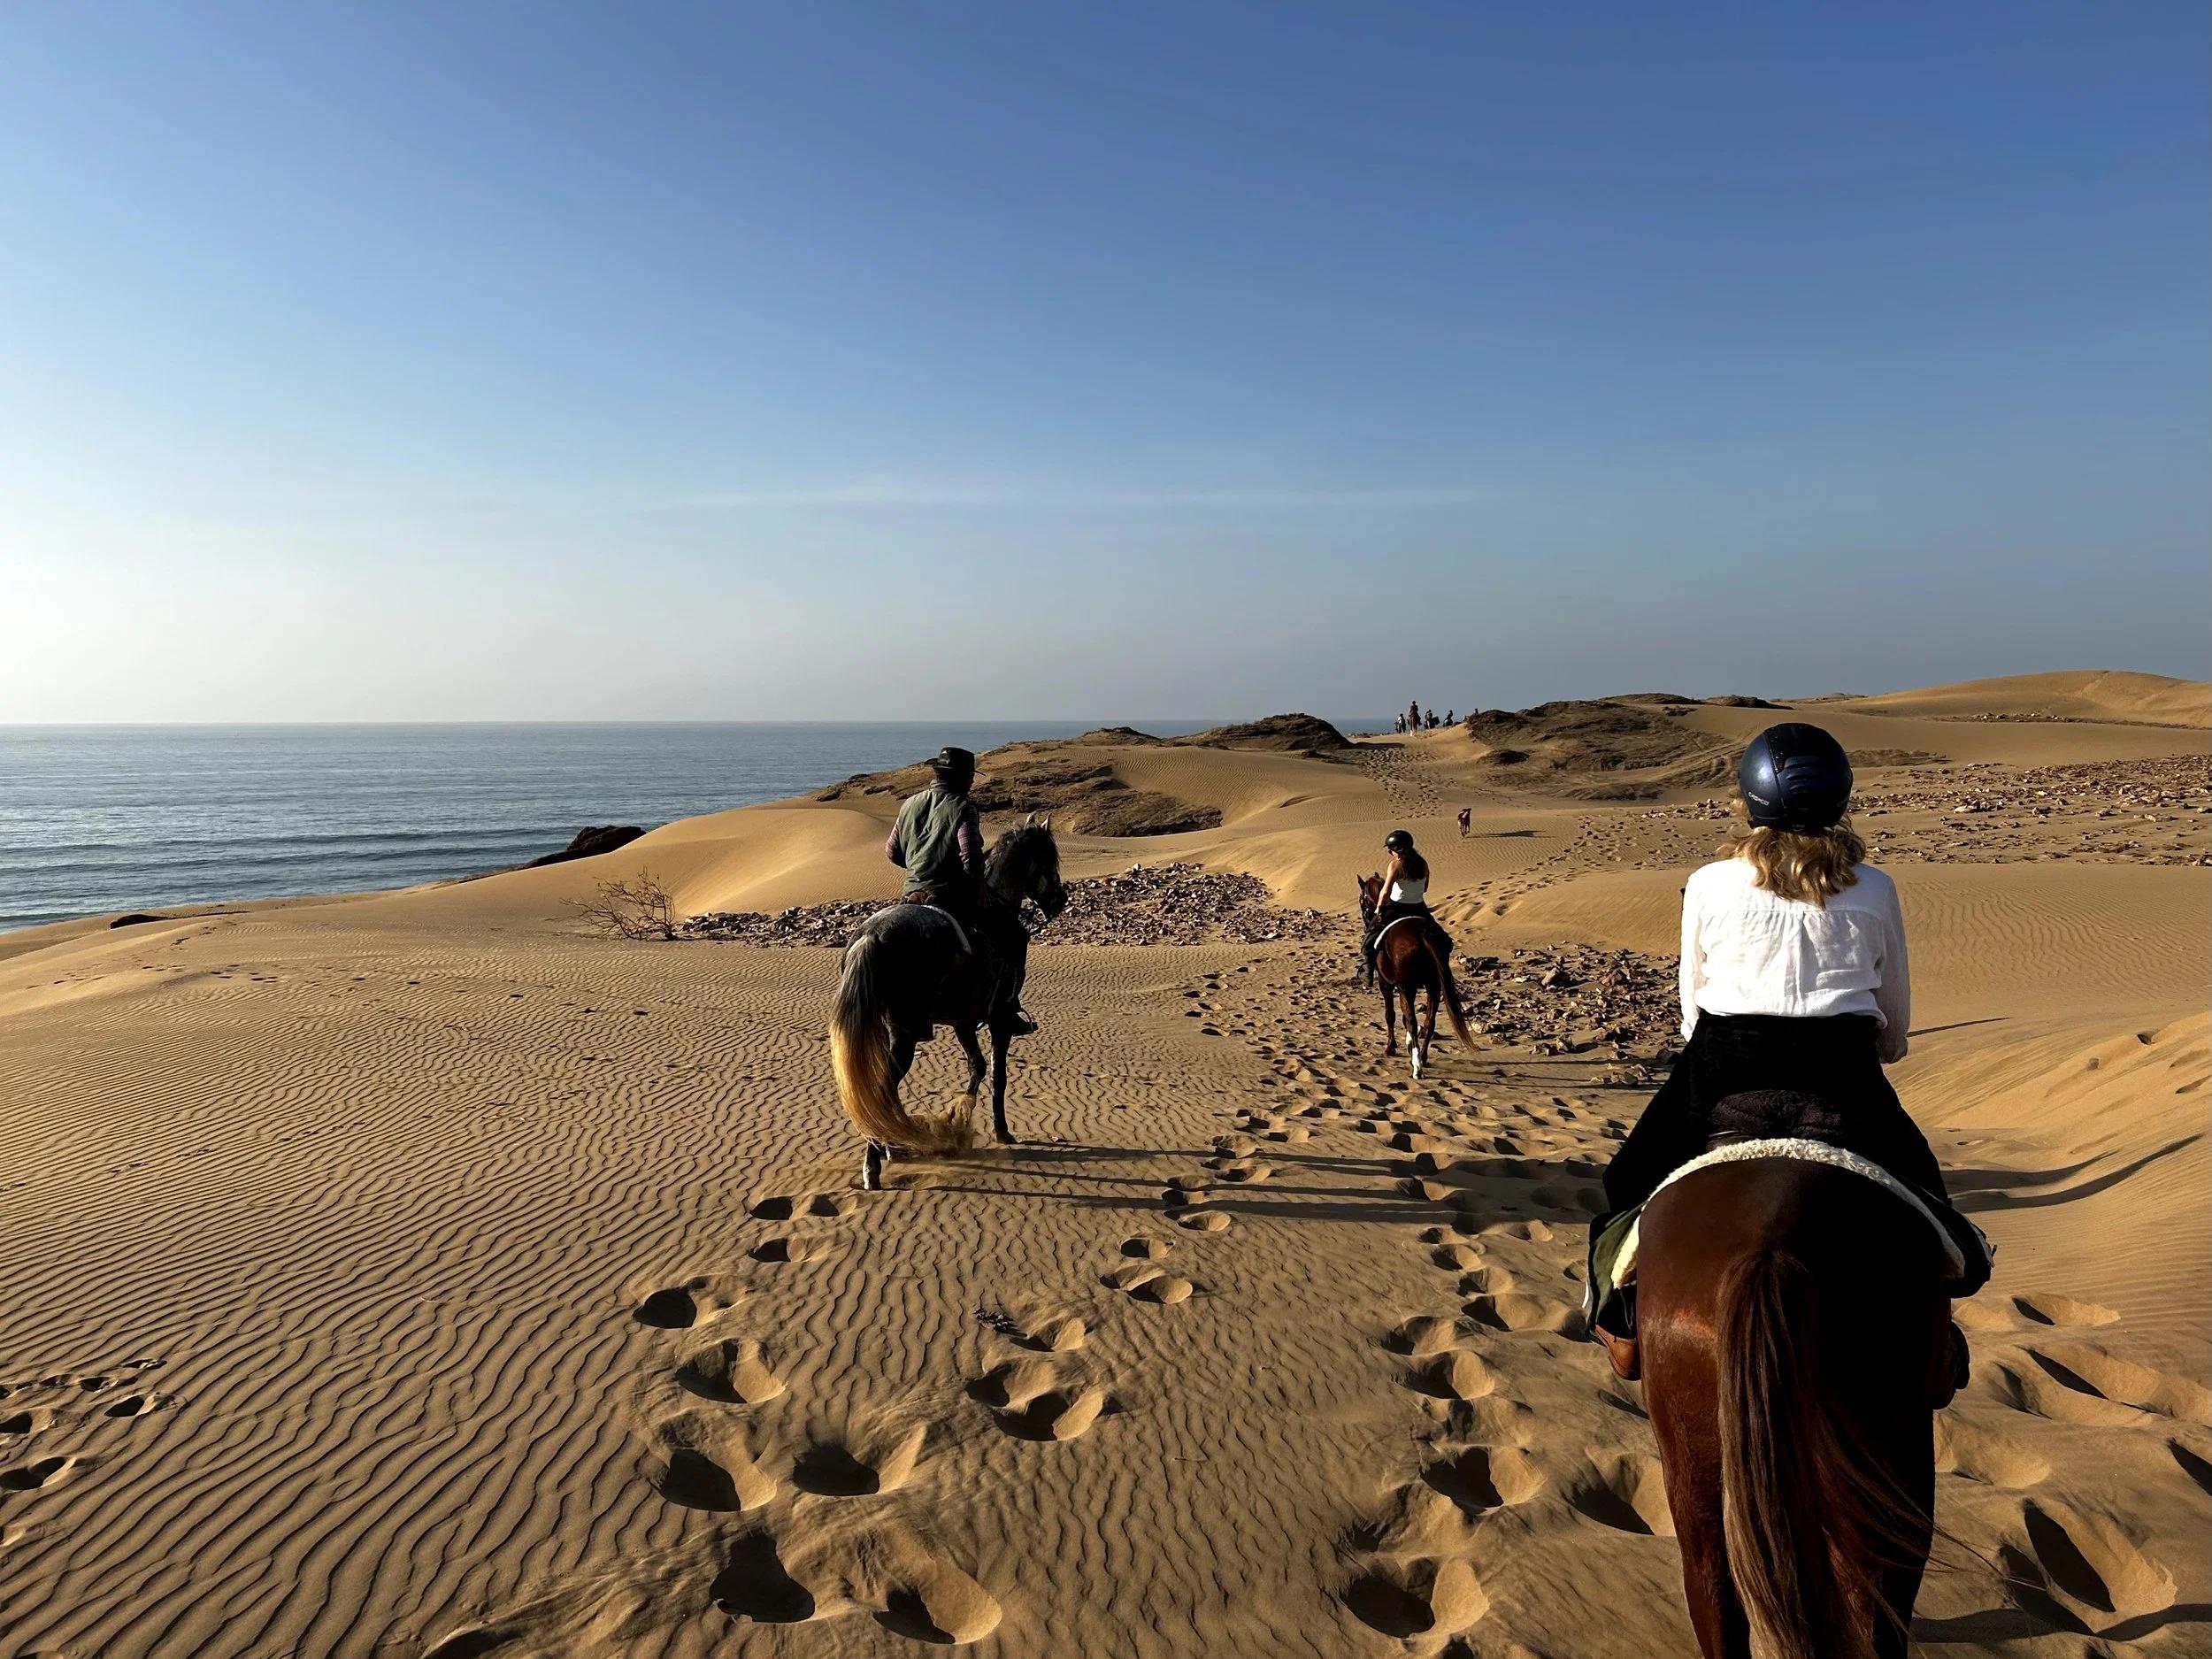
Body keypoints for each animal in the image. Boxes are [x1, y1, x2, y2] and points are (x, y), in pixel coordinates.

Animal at [829, 817, 1067, 1190]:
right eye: (1049, 860)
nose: (1060, 899)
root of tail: (871, 935)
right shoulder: (1000, 1020)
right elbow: (998, 1075)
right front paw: (1002, 1132)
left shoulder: (964, 1022)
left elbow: (977, 1066)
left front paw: (959, 1119)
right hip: (907, 1031)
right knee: (882, 1088)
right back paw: (874, 1166)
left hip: (890, 1027)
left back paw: (891, 1145)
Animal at [1356, 872, 1474, 1077]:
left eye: (1362, 901)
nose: (1366, 922)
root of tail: (1423, 933)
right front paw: (1409, 1044)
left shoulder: (1387, 984)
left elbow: (1391, 1014)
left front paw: (1391, 1047)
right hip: (1434, 985)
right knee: (1429, 1021)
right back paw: (1423, 1057)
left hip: (1407, 987)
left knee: (1412, 1020)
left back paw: (1417, 1066)